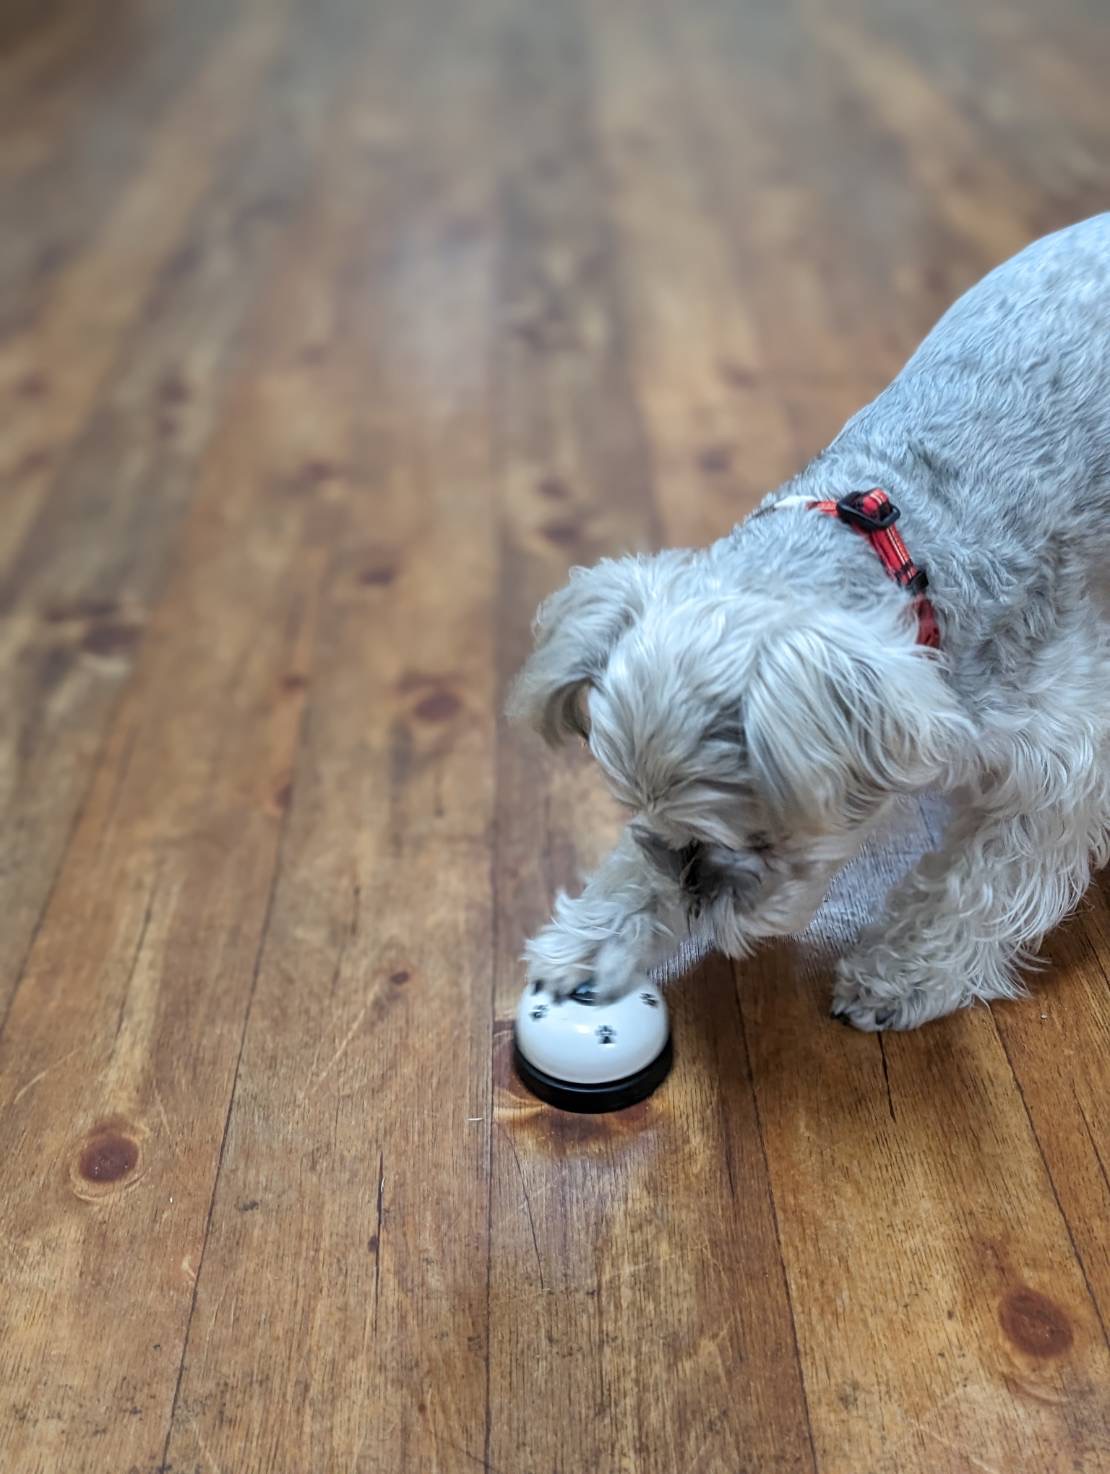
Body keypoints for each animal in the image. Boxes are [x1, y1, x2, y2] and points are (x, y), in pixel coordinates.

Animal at [508, 214, 1110, 1031]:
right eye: (646, 822)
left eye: (761, 838)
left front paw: (901, 973)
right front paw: (597, 938)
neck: (898, 543)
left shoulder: (1059, 761)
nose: (704, 906)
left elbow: (978, 884)